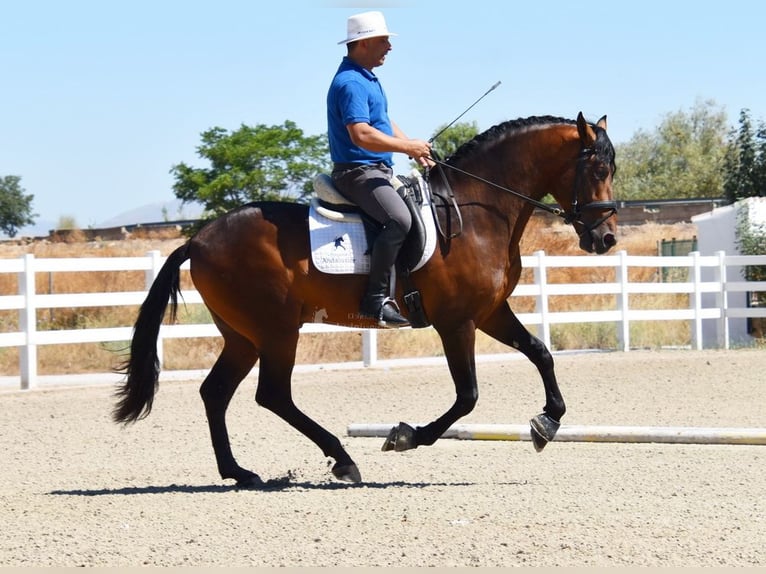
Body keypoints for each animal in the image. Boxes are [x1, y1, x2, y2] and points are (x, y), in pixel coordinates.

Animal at [112, 113, 616, 490]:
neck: (477, 212)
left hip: (243, 336)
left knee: (216, 392)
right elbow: (467, 396)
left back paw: (240, 472)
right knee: (272, 394)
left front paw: (546, 424)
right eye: (597, 169)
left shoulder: (489, 312)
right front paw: (405, 436)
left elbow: (541, 353)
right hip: (277, 330)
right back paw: (341, 459)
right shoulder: (456, 322)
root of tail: (198, 239)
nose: (606, 238)